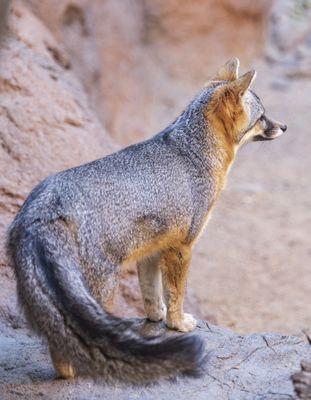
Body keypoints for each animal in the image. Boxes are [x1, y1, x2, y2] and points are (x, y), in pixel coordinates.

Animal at [5, 57, 288, 382]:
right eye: (262, 117)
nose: (284, 126)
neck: (191, 153)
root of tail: (44, 206)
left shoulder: (151, 249)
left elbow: (152, 292)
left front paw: (157, 319)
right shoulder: (182, 247)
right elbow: (176, 292)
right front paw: (178, 323)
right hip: (100, 287)